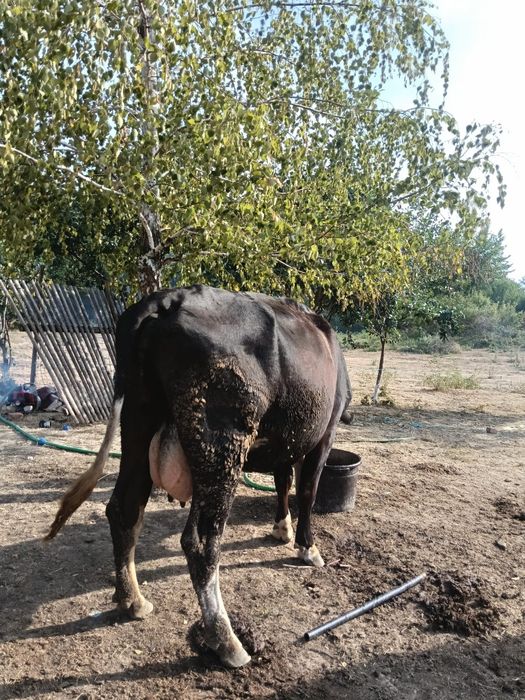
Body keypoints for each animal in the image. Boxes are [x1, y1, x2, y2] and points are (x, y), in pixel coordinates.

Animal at [46, 285, 352, 668]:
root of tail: (168, 299)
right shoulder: (324, 436)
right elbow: (307, 492)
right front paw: (307, 547)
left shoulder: (288, 441)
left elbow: (283, 482)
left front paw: (282, 529)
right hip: (222, 443)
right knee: (202, 543)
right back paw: (227, 641)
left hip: (139, 425)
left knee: (123, 510)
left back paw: (132, 600)